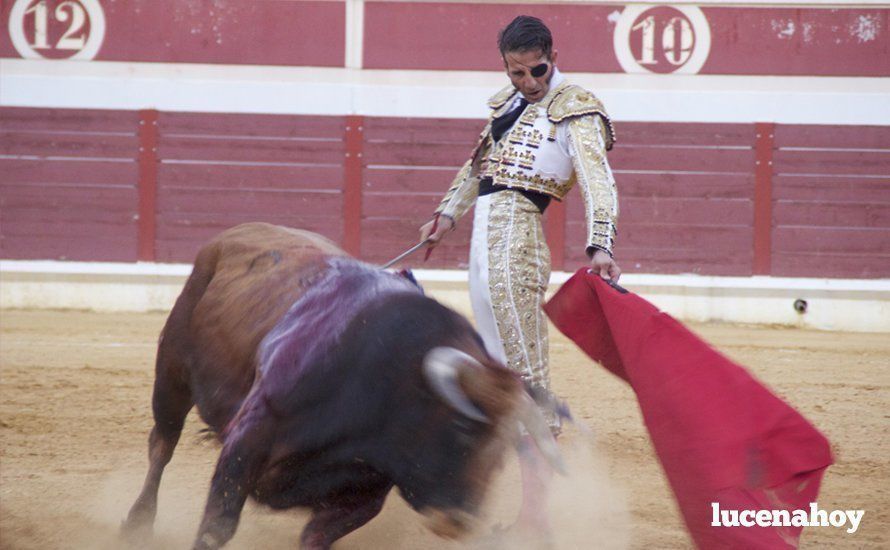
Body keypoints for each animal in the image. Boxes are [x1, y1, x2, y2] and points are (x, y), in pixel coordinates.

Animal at [121, 222, 560, 548]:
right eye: (463, 427)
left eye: (504, 451)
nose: (458, 522)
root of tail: (233, 234)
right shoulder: (246, 441)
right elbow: (217, 527)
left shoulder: (363, 495)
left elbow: (314, 538)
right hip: (172, 373)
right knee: (162, 445)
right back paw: (136, 523)